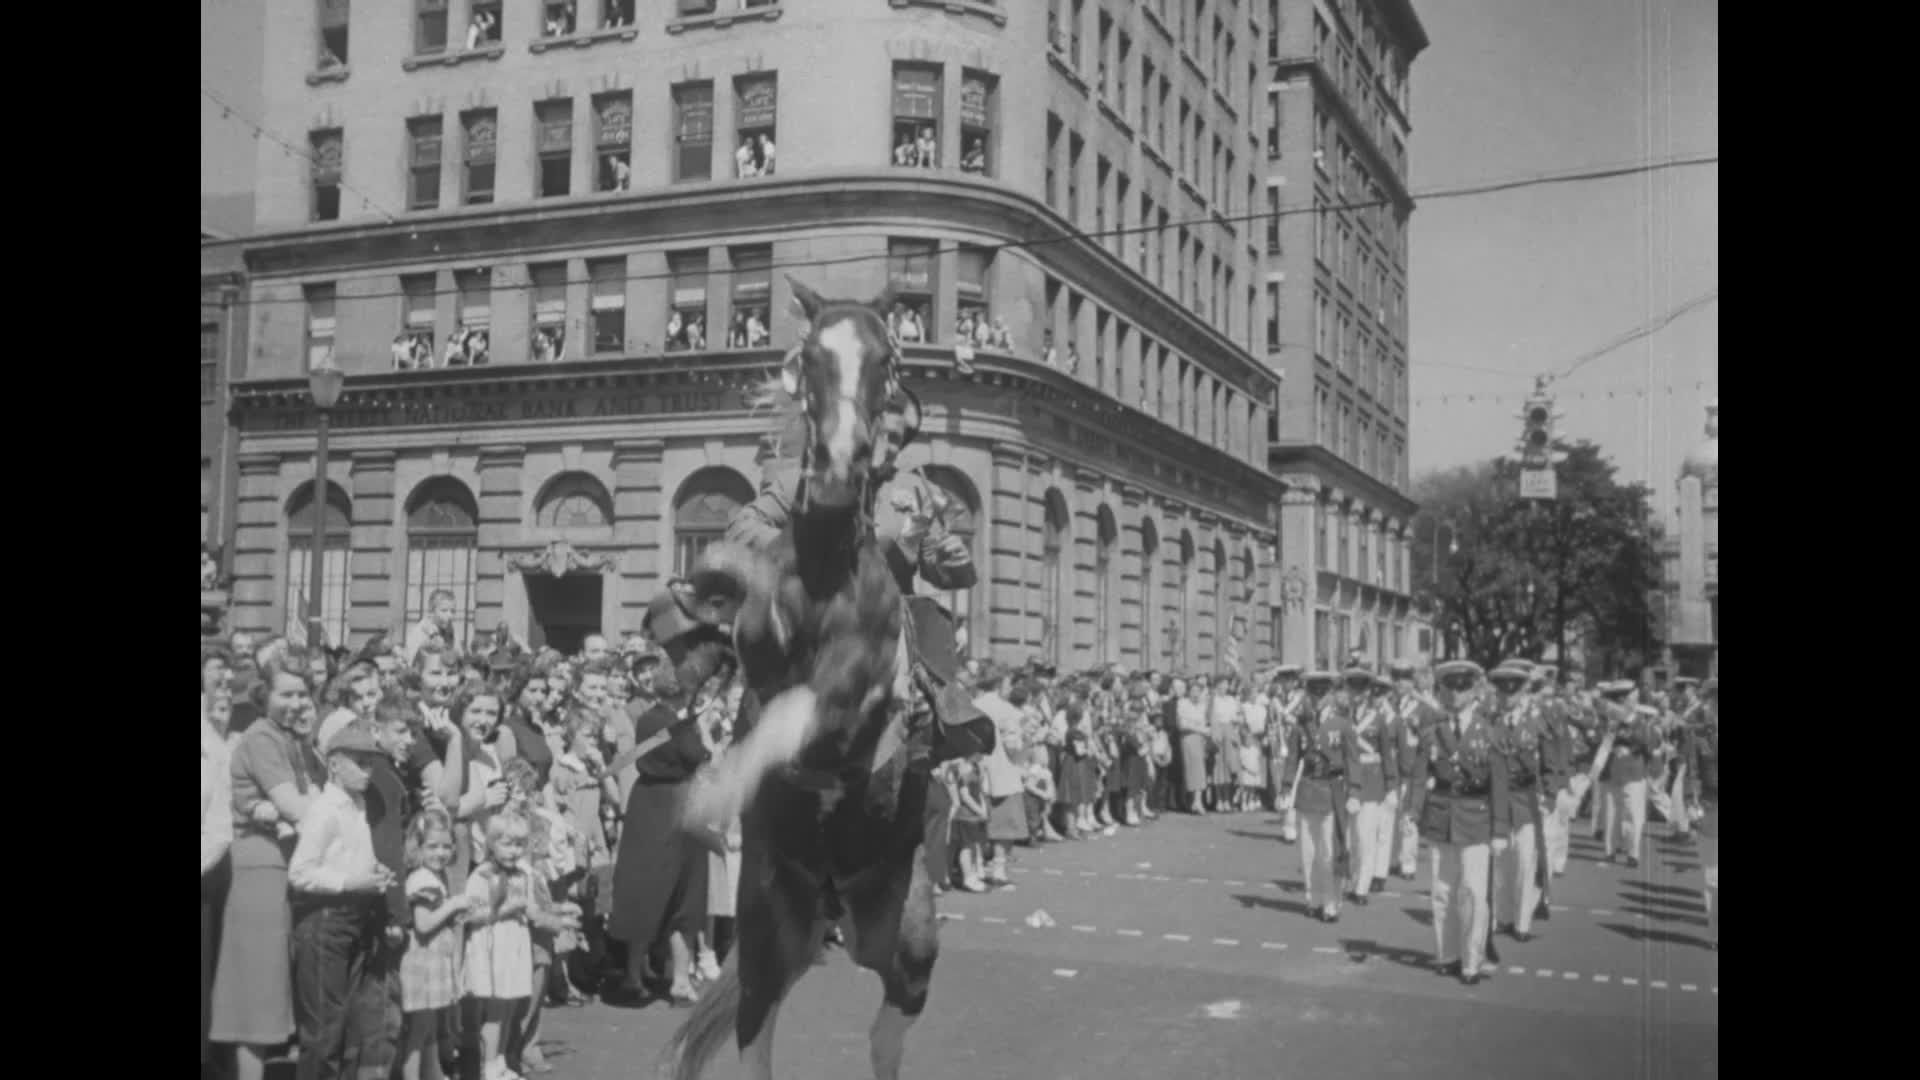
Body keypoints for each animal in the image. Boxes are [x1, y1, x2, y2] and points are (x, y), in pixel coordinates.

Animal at [660, 276, 944, 1076]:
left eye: (885, 359)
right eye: (811, 356)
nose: (843, 469)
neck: (824, 567)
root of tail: (832, 904)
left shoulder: (858, 688)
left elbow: (808, 709)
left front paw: (713, 794)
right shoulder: (761, 653)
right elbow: (765, 671)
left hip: (904, 938)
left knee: (886, 1031)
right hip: (769, 928)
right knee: (757, 1022)